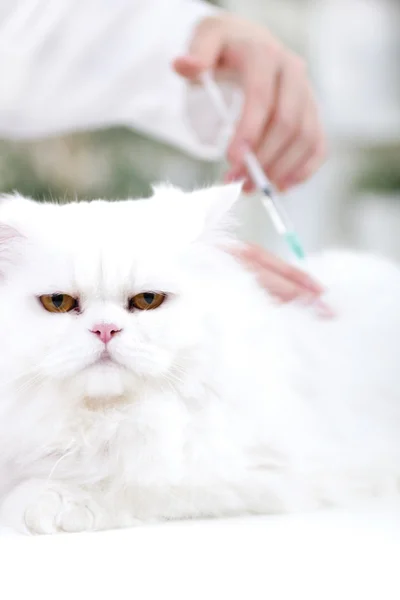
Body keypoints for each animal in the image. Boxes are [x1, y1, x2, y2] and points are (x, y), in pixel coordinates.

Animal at [0, 184, 400, 536]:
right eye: (58, 302)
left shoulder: (260, 473)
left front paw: (47, 500)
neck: (108, 418)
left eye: (147, 300)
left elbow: (132, 481)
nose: (105, 330)